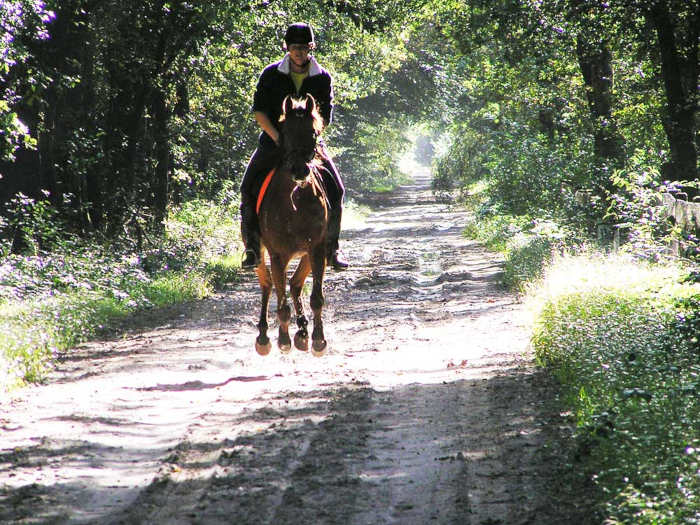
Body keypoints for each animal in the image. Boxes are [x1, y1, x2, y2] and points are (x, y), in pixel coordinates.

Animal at [253, 93, 330, 356]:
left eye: (313, 132)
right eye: (284, 132)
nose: (300, 170)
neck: (295, 198)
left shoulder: (317, 249)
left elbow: (316, 297)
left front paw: (317, 339)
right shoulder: (277, 255)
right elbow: (281, 301)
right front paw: (283, 340)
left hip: (308, 254)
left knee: (295, 285)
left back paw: (303, 332)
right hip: (260, 253)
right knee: (267, 286)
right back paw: (264, 336)